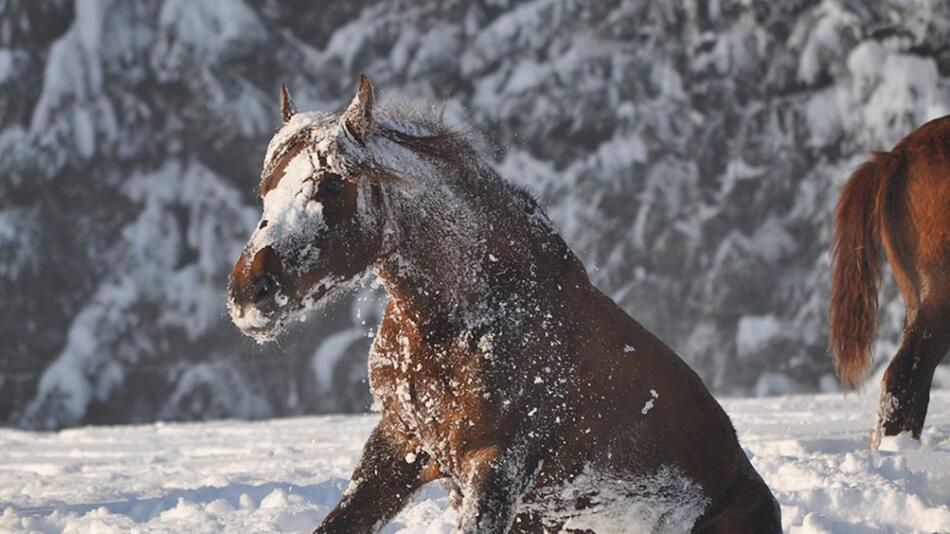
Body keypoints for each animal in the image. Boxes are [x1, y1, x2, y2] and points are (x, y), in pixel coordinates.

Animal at [229, 76, 780, 534]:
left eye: (331, 184)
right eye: (266, 188)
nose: (248, 292)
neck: (463, 321)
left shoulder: (497, 464)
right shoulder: (401, 445)